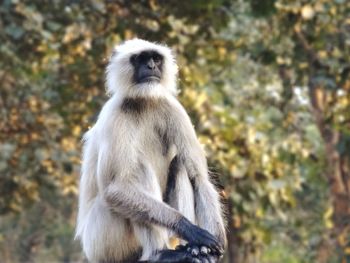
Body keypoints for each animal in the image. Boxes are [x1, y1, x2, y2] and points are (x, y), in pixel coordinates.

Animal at [75, 39, 226, 263]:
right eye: (140, 59)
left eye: (155, 58)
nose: (151, 67)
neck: (143, 101)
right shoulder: (114, 115)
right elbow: (115, 189)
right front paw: (191, 229)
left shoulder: (173, 107)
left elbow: (199, 177)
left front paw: (213, 246)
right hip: (101, 241)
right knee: (136, 172)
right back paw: (159, 254)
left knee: (180, 164)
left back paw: (192, 251)